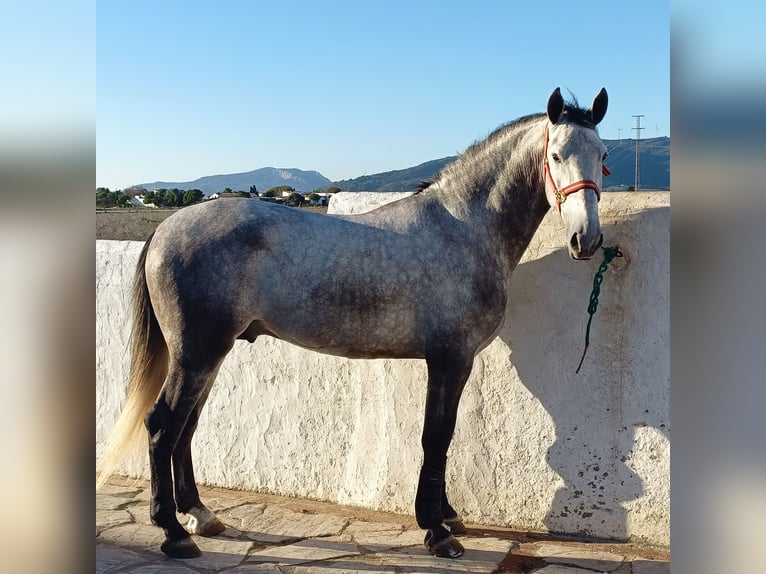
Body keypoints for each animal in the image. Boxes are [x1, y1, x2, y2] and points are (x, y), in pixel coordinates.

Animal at [97, 88, 612, 560]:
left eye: (602, 157)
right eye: (556, 154)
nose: (585, 240)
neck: (464, 228)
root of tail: (167, 227)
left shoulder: (454, 363)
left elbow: (443, 438)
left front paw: (446, 516)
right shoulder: (450, 360)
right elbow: (436, 436)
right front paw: (436, 531)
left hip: (209, 355)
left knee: (186, 427)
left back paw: (200, 515)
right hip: (197, 354)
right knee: (164, 425)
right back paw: (173, 532)